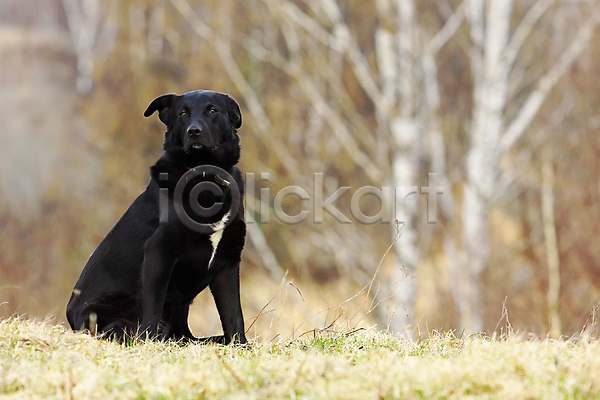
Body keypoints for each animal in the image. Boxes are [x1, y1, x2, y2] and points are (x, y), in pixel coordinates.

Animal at [68, 90, 248, 344]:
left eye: (213, 111)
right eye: (182, 113)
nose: (194, 131)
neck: (205, 174)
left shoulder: (228, 261)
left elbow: (233, 314)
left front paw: (242, 347)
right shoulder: (159, 250)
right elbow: (153, 305)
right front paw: (147, 342)